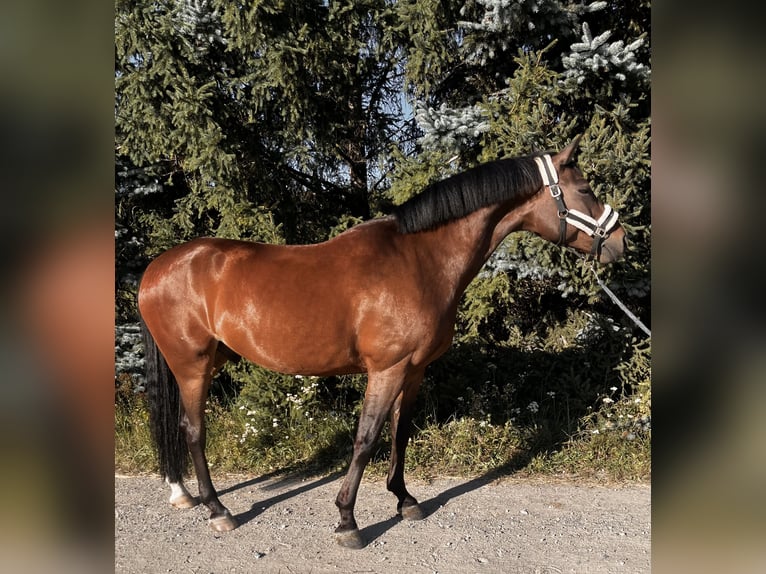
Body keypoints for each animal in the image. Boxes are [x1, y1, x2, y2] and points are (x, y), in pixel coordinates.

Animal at [138, 137, 628, 552]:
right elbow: (366, 437)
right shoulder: (387, 368)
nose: (621, 242)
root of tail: (156, 268)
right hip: (192, 365)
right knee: (193, 430)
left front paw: (405, 500)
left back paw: (184, 494)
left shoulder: (414, 370)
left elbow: (400, 431)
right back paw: (218, 510)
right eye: (584, 189)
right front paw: (347, 521)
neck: (420, 260)